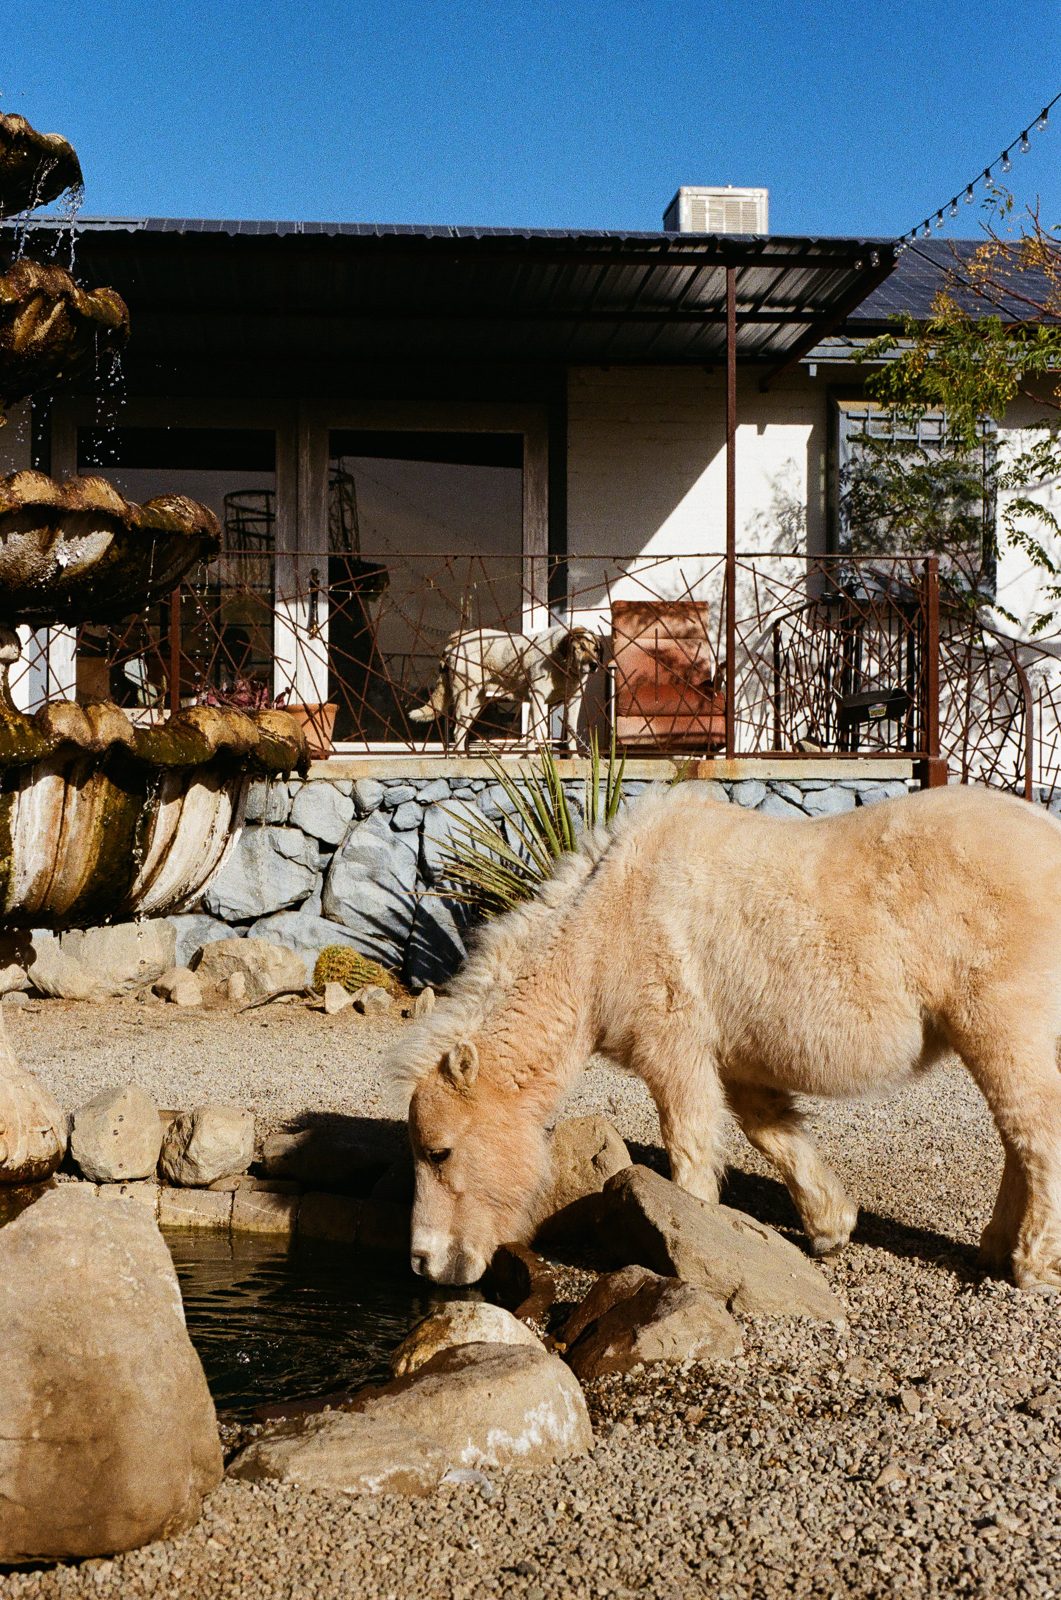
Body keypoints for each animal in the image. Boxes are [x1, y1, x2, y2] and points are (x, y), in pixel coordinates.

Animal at [392, 783, 1061, 1292]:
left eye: (438, 1152)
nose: (423, 1263)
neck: (604, 927)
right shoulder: (735, 1060)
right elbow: (773, 1133)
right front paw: (830, 1226)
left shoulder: (674, 1047)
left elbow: (689, 1145)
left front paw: (685, 1243)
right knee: (1015, 1135)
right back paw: (994, 1248)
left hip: (1001, 1022)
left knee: (1036, 1129)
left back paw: (1032, 1265)